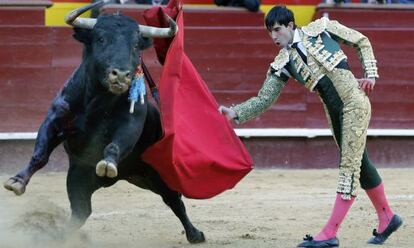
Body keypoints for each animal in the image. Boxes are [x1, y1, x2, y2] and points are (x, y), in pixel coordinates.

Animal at [3, 0, 207, 244]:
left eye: (136, 45)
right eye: (100, 39)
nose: (121, 75)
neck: (97, 102)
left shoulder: (130, 126)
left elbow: (115, 144)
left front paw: (108, 163)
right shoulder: (55, 119)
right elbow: (40, 155)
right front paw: (17, 181)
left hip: (158, 175)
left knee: (175, 201)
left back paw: (195, 234)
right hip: (78, 177)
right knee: (81, 211)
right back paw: (59, 236)